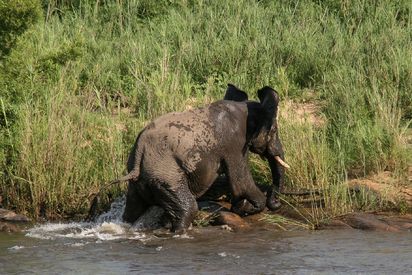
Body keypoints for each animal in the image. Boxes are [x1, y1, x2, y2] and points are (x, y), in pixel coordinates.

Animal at [117, 84, 288, 233]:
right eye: (274, 130)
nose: (277, 203)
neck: (244, 107)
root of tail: (139, 150)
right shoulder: (234, 144)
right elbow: (241, 183)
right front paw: (245, 208)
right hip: (165, 175)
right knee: (188, 207)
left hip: (139, 181)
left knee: (132, 210)